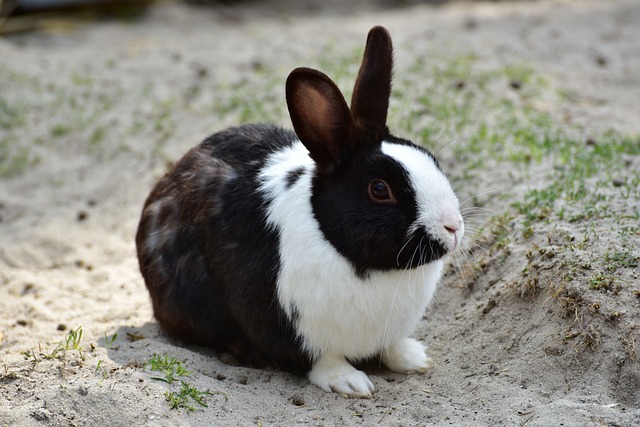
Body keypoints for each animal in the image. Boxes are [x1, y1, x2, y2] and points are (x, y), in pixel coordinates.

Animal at [136, 25, 464, 398]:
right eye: (380, 189)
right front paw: (350, 382)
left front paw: (414, 358)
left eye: (430, 158)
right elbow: (319, 359)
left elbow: (391, 346)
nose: (453, 227)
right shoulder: (287, 324)